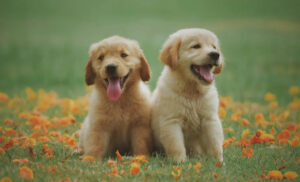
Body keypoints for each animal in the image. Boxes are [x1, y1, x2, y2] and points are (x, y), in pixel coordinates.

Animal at [152, 28, 225, 162]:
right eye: (196, 46)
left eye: (214, 47)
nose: (215, 54)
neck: (192, 91)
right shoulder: (171, 121)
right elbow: (176, 145)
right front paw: (179, 162)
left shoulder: (210, 119)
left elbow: (215, 143)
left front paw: (218, 162)